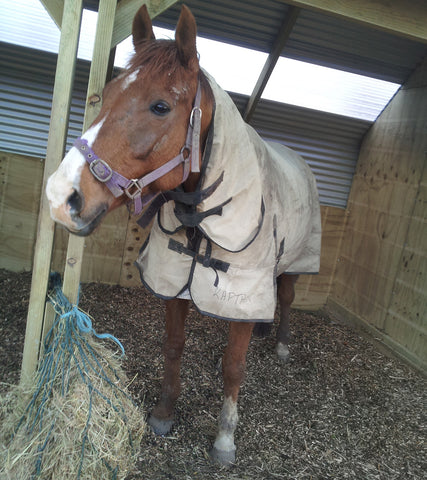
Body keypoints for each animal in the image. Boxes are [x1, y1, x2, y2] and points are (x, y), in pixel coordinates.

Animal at [46, 3, 320, 464]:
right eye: (107, 93)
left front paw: (225, 438)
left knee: (285, 296)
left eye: (160, 106)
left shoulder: (242, 288)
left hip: (297, 260)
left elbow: (233, 365)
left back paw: (280, 343)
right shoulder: (173, 280)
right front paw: (164, 412)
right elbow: (174, 346)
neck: (199, 212)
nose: (59, 196)